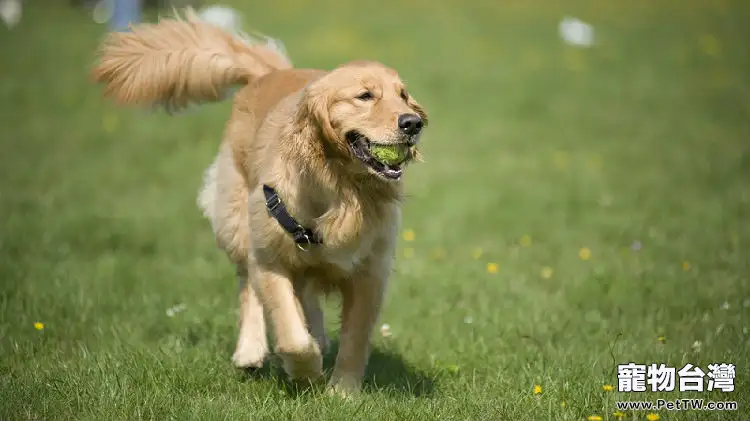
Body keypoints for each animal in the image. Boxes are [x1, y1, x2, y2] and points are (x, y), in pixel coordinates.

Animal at [90, 7, 428, 394]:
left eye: (403, 95)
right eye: (365, 96)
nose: (413, 123)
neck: (340, 188)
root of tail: (268, 73)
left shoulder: (370, 271)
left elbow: (355, 340)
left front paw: (342, 393)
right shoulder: (271, 257)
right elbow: (289, 331)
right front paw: (305, 371)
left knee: (305, 294)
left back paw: (317, 336)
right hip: (237, 223)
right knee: (248, 286)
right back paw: (251, 351)